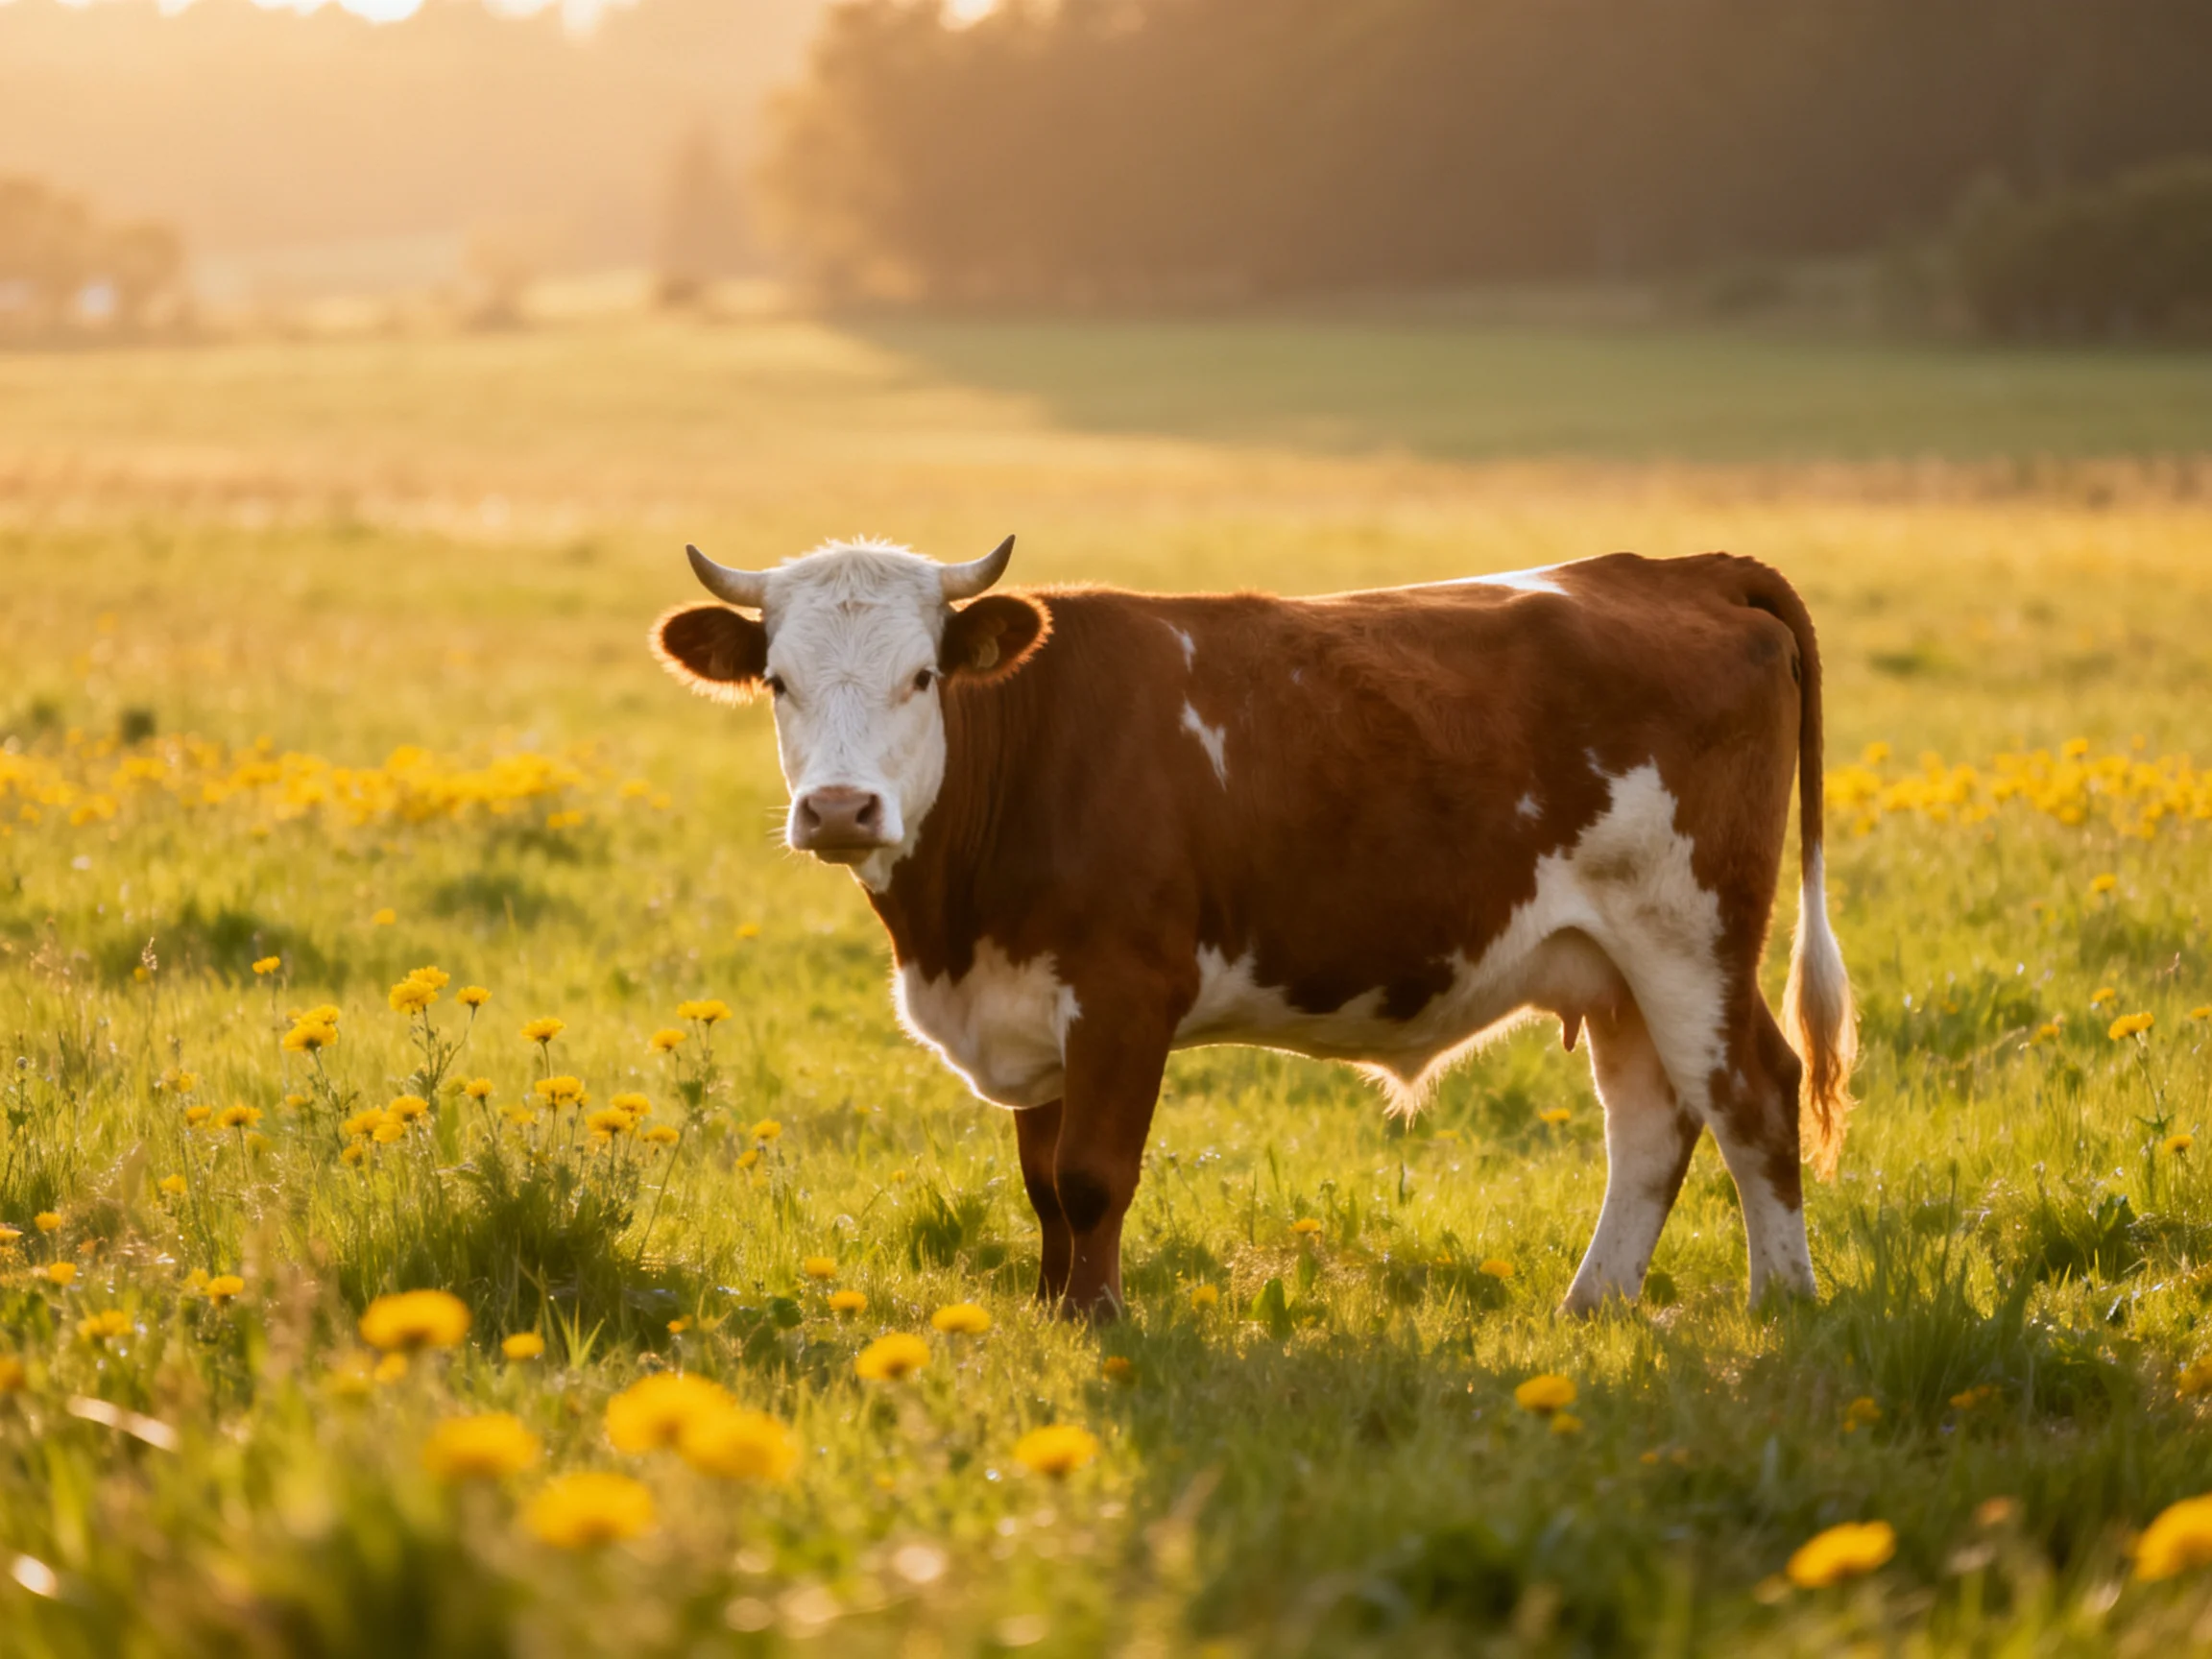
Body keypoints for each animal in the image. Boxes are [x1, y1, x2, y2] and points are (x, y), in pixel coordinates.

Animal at [652, 536, 1857, 1319]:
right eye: (778, 680)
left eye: (921, 676)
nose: (840, 809)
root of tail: (1681, 568)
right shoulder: (1028, 1006)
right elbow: (1043, 1183)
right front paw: (1048, 1314)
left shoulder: (1126, 993)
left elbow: (1092, 1176)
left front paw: (1098, 1323)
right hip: (1614, 963)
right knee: (1653, 1117)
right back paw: (1592, 1306)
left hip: (1690, 932)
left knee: (1754, 1093)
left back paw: (1781, 1304)